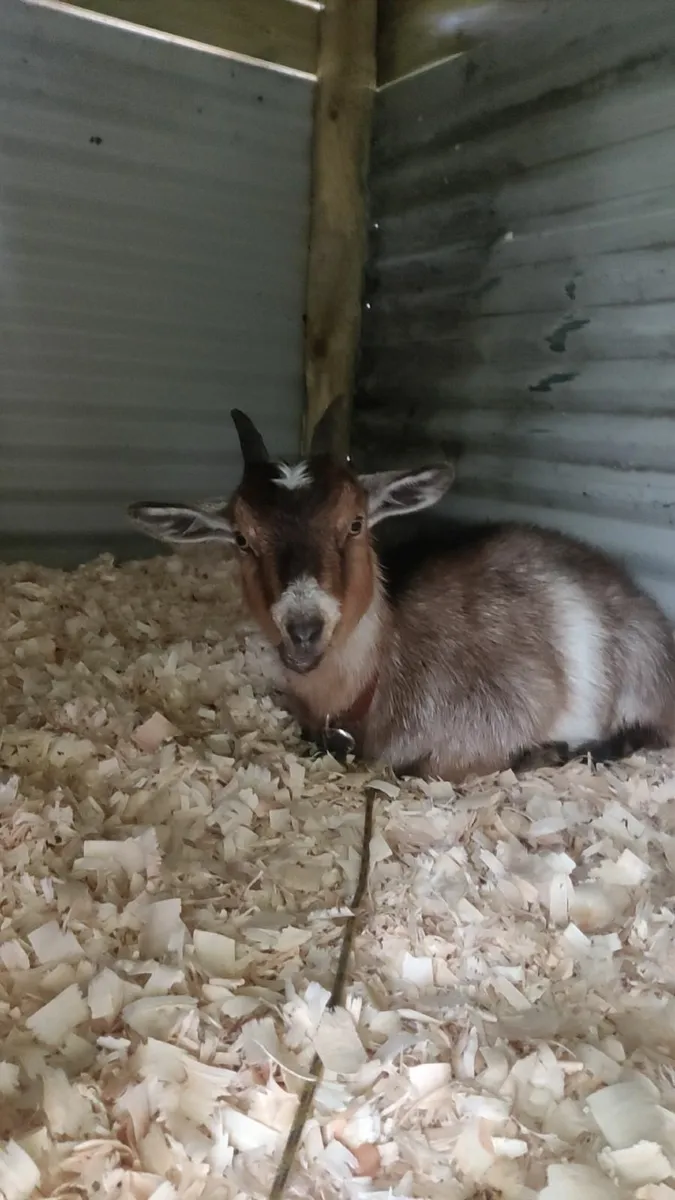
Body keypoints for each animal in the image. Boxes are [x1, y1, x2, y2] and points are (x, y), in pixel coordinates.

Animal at [127, 402, 675, 783]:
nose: (304, 629)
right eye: (242, 538)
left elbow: (425, 767)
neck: (373, 679)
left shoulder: (506, 708)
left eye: (355, 522)